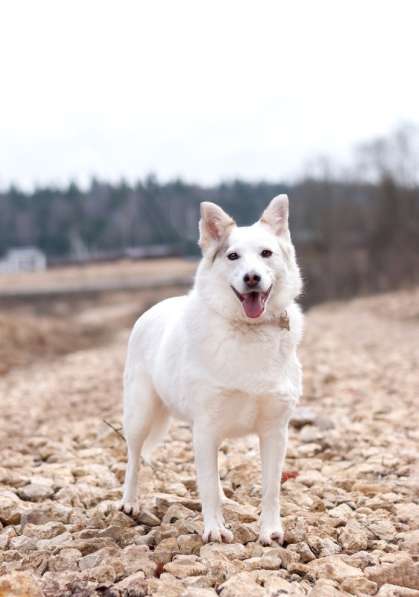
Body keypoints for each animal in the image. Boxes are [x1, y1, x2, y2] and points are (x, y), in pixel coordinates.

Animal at [120, 194, 304, 544]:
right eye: (233, 256)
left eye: (266, 253)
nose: (251, 278)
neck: (248, 330)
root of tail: (154, 307)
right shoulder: (205, 429)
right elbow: (205, 485)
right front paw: (214, 529)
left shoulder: (275, 432)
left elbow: (271, 488)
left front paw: (270, 531)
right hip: (139, 415)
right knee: (134, 458)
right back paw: (129, 503)